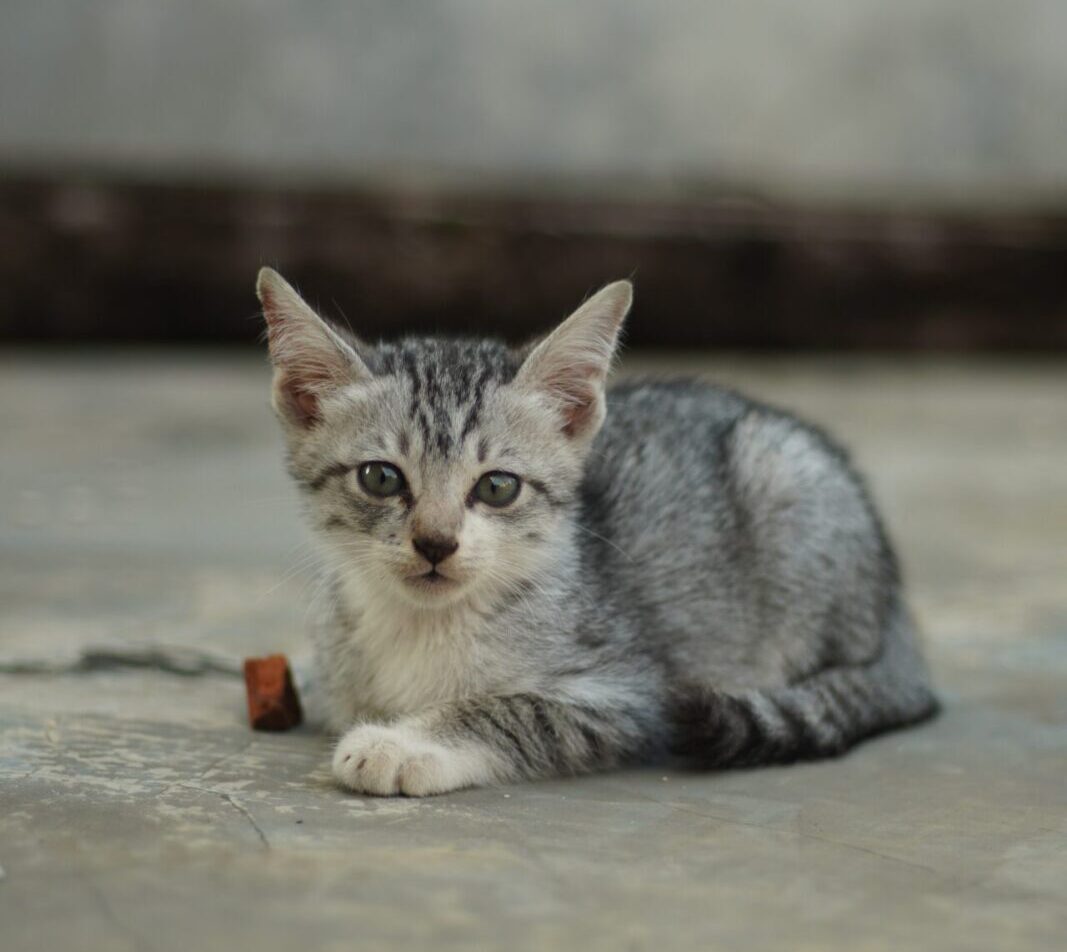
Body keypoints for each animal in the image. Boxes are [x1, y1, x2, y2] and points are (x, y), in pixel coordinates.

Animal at [256, 265, 934, 794]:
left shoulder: (628, 694)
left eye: (497, 487)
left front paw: (403, 744)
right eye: (380, 478)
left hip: (785, 478)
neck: (426, 628)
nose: (435, 543)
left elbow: (515, 710)